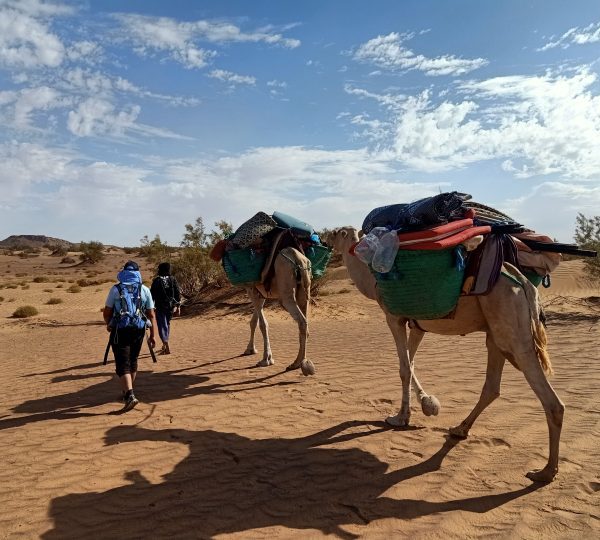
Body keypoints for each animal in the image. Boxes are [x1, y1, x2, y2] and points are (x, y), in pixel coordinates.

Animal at [241, 248, 316, 378]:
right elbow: (254, 321)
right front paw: (250, 349)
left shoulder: (251, 288)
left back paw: (297, 363)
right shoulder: (261, 293)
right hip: (305, 288)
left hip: (286, 291)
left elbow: (262, 324)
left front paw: (266, 359)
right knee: (305, 322)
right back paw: (300, 362)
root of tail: (297, 257)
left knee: (302, 321)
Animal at [330, 226, 564, 484]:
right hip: (495, 334)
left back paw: (545, 471)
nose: (324, 238)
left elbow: (404, 368)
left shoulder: (394, 318)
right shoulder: (417, 326)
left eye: (337, 233)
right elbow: (411, 363)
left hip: (512, 329)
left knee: (550, 400)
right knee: (492, 386)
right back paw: (460, 429)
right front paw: (425, 404)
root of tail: (525, 284)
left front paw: (400, 418)